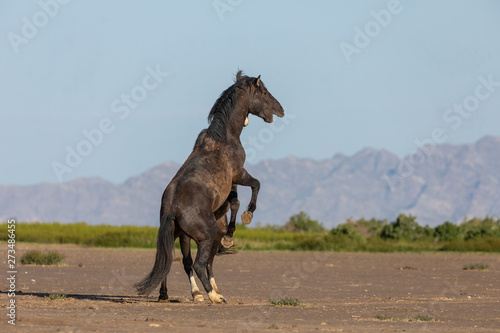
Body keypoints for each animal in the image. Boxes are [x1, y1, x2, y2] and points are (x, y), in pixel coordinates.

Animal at [134, 71, 286, 302]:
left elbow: (236, 201)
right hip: (206, 236)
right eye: (265, 92)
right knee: (198, 264)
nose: (281, 110)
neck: (224, 137)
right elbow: (253, 188)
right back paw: (213, 296)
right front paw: (245, 218)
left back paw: (169, 294)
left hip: (175, 235)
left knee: (168, 260)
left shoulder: (231, 184)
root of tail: (173, 208)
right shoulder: (238, 174)